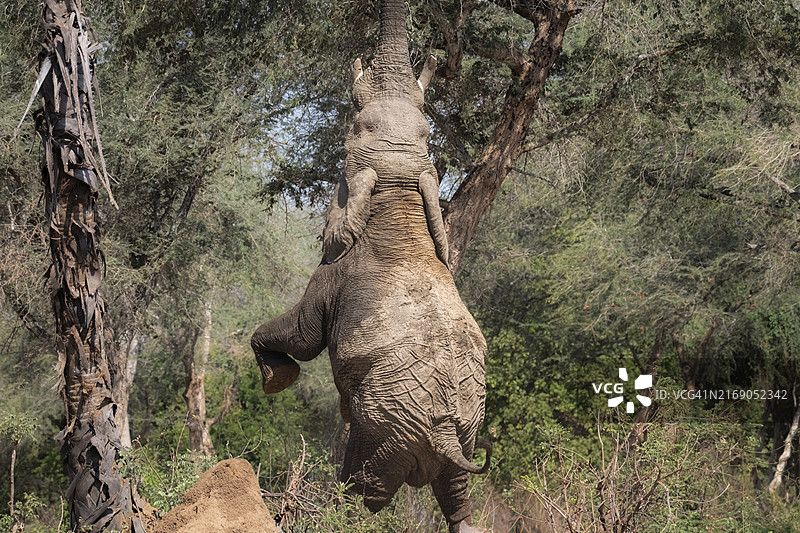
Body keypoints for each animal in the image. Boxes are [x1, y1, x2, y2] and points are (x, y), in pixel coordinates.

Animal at [251, 1, 489, 531]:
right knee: (456, 497)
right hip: (465, 428)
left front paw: (278, 380)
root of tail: (446, 433)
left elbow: (304, 334)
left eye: (351, 129)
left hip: (386, 429)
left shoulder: (332, 273)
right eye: (426, 131)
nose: (435, 52)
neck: (399, 181)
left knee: (365, 494)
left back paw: (329, 509)